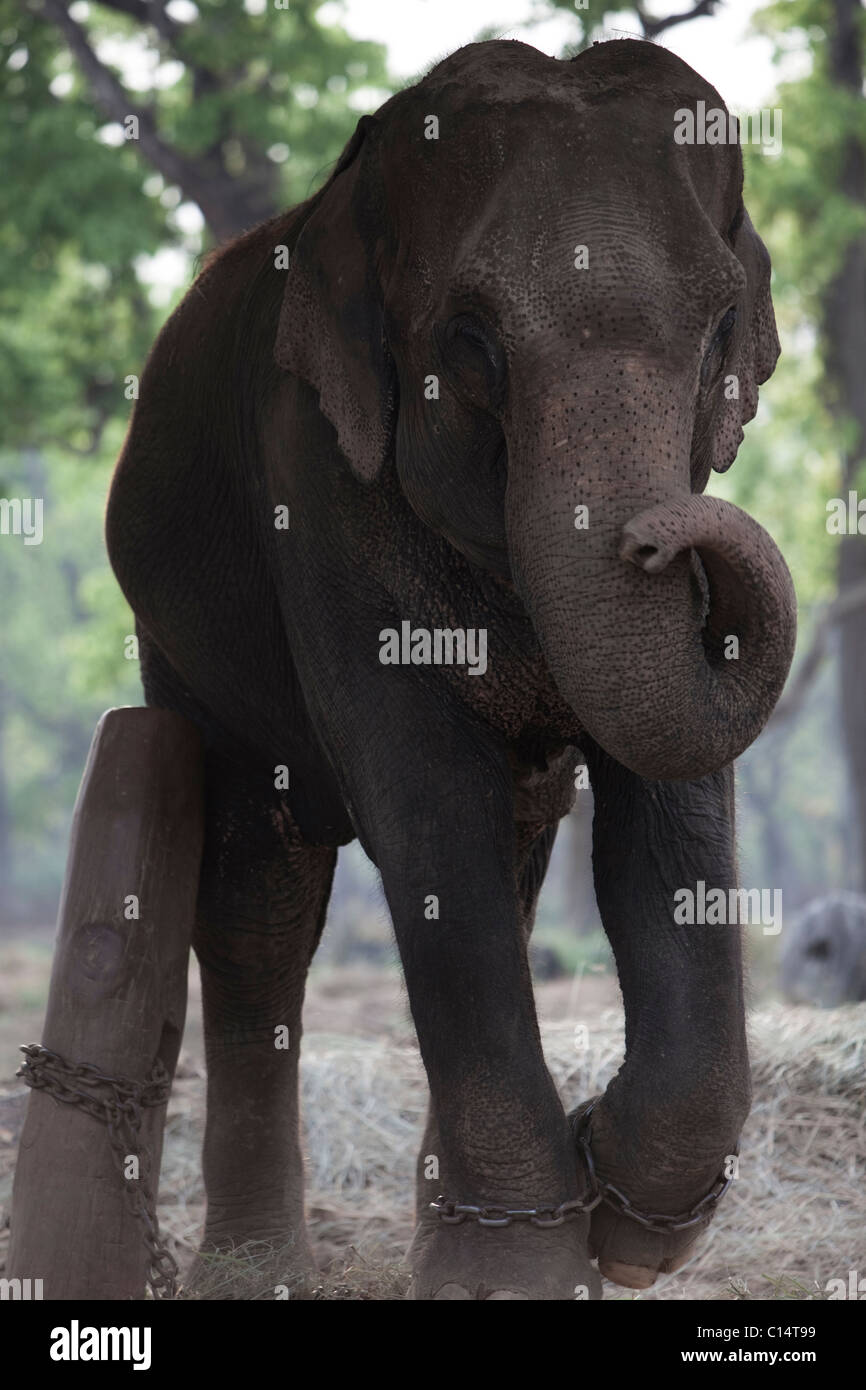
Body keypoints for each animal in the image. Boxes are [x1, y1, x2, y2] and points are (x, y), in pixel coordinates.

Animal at [105, 37, 797, 1300]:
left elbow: (662, 819)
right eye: (470, 342)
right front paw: (524, 1258)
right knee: (259, 903)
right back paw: (255, 1268)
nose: (664, 540)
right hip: (178, 651)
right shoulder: (311, 474)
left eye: (721, 323)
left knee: (516, 860)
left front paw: (615, 1222)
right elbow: (429, 812)